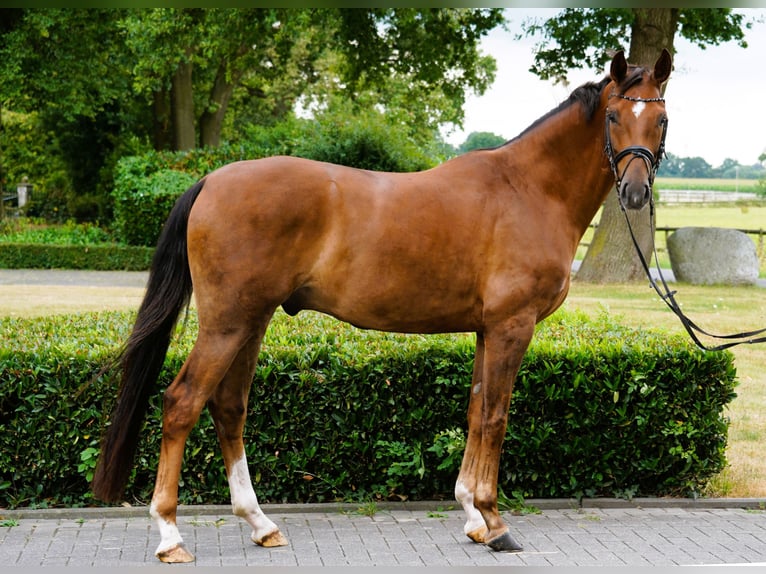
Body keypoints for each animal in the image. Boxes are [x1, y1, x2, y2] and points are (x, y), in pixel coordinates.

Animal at [92, 49, 672, 563]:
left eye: (661, 119)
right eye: (614, 116)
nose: (636, 192)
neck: (528, 188)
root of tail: (212, 178)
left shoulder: (487, 330)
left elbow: (474, 410)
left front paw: (471, 516)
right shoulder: (513, 326)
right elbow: (496, 416)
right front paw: (495, 520)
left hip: (250, 322)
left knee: (229, 406)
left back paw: (260, 524)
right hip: (227, 323)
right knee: (182, 403)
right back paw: (170, 536)